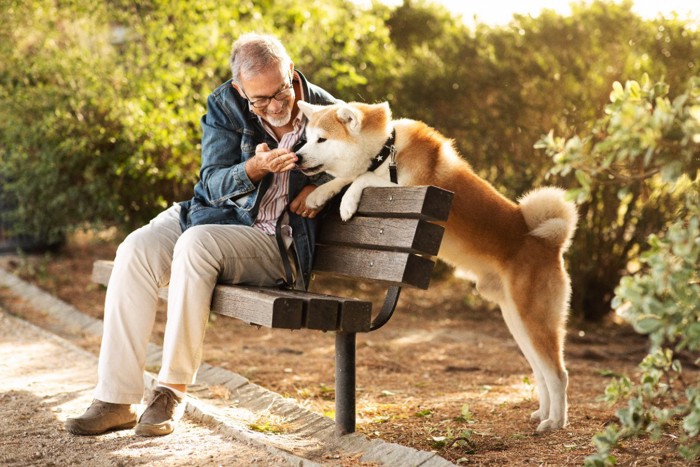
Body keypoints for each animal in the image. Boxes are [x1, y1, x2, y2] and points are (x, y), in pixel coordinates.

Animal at [296, 100, 580, 434]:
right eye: (307, 137)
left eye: (321, 139)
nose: (297, 157)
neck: (386, 151)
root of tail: (549, 244)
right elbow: (344, 178)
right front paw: (317, 195)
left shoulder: (415, 188)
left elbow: (360, 180)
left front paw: (347, 202)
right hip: (517, 320)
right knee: (541, 371)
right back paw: (543, 413)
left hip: (534, 318)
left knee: (559, 374)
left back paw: (556, 421)